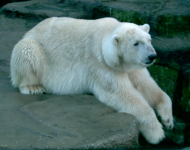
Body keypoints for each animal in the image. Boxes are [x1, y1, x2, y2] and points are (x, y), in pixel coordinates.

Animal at [10, 17, 174, 145]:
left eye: (149, 39)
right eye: (136, 43)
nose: (152, 56)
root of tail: (30, 30)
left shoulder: (132, 67)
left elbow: (147, 85)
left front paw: (168, 119)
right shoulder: (102, 64)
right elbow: (120, 93)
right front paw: (157, 134)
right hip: (35, 49)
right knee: (28, 50)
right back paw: (32, 87)